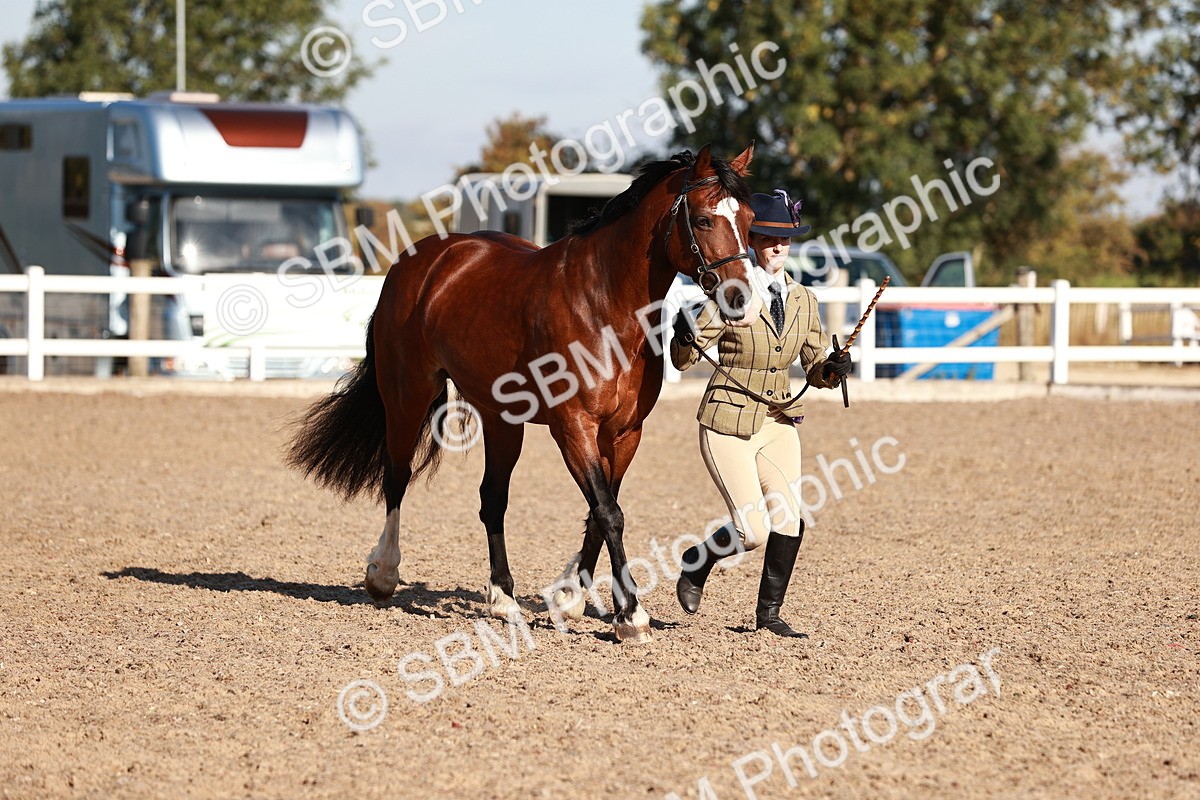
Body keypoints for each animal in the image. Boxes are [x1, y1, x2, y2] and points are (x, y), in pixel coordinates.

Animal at [287, 143, 763, 643]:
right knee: (397, 477)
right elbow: (608, 512)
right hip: (406, 397)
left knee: (492, 499)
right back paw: (383, 573)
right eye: (705, 219)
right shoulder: (572, 427)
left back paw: (502, 598)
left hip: (501, 419)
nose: (744, 301)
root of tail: (419, 259)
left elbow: (601, 510)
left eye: (750, 218)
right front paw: (631, 616)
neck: (606, 305)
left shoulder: (625, 431)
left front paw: (572, 599)